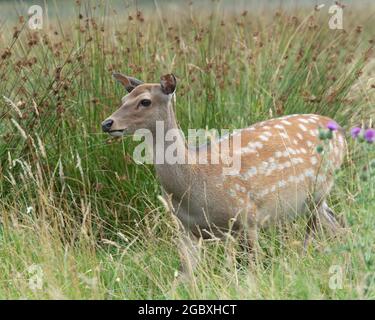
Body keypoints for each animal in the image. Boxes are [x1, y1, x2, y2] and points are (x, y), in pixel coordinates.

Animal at [102, 74, 346, 272]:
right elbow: (183, 275)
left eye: (145, 101)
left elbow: (253, 267)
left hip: (319, 188)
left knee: (316, 229)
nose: (107, 123)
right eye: (123, 99)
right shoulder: (186, 229)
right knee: (336, 222)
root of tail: (340, 130)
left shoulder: (248, 215)